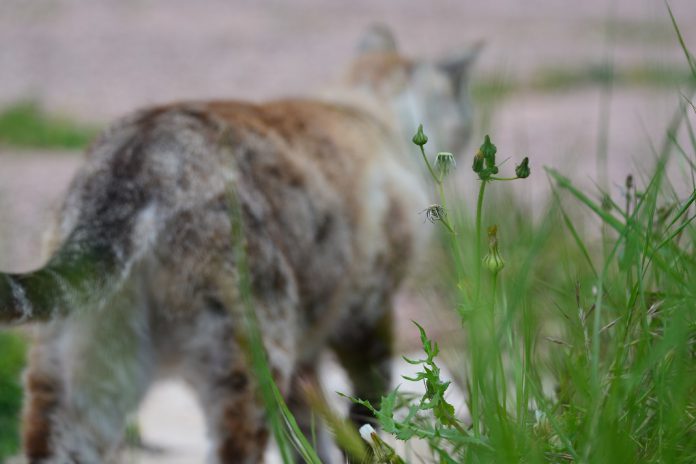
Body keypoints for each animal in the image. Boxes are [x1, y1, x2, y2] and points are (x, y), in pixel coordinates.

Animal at [0, 25, 478, 464]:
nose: (470, 132)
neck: (364, 108)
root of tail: (139, 158)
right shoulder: (367, 313)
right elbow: (366, 409)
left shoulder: (308, 350)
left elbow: (308, 430)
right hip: (253, 362)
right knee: (236, 448)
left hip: (79, 378)